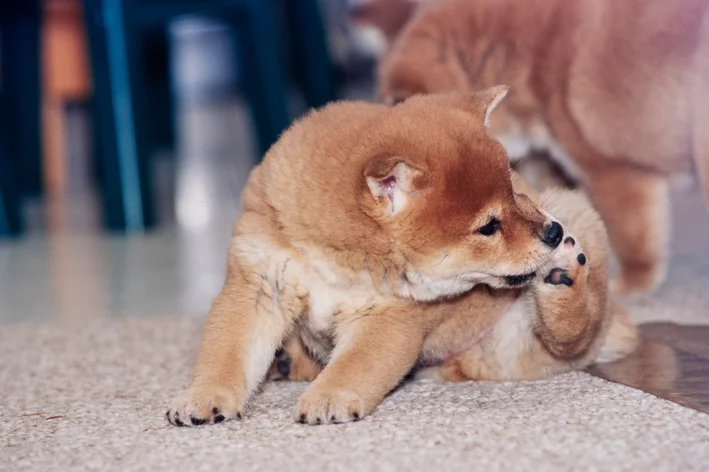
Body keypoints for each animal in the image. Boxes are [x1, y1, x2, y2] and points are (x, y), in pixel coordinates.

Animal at [167, 86, 568, 426]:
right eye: (488, 226)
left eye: (515, 193)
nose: (555, 232)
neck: (329, 259)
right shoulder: (259, 287)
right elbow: (226, 353)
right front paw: (203, 397)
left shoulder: (386, 317)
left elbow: (354, 366)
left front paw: (328, 398)